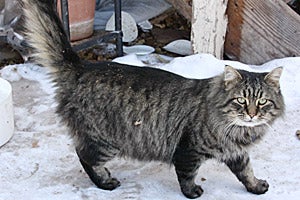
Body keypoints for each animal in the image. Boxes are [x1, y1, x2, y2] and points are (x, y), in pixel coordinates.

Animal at [21, 0, 284, 198]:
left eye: (262, 102)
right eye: (241, 100)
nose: (251, 114)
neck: (240, 131)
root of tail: (81, 67)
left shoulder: (236, 153)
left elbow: (246, 171)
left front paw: (255, 186)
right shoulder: (188, 150)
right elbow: (187, 175)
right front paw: (192, 192)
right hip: (106, 141)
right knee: (84, 155)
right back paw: (105, 182)